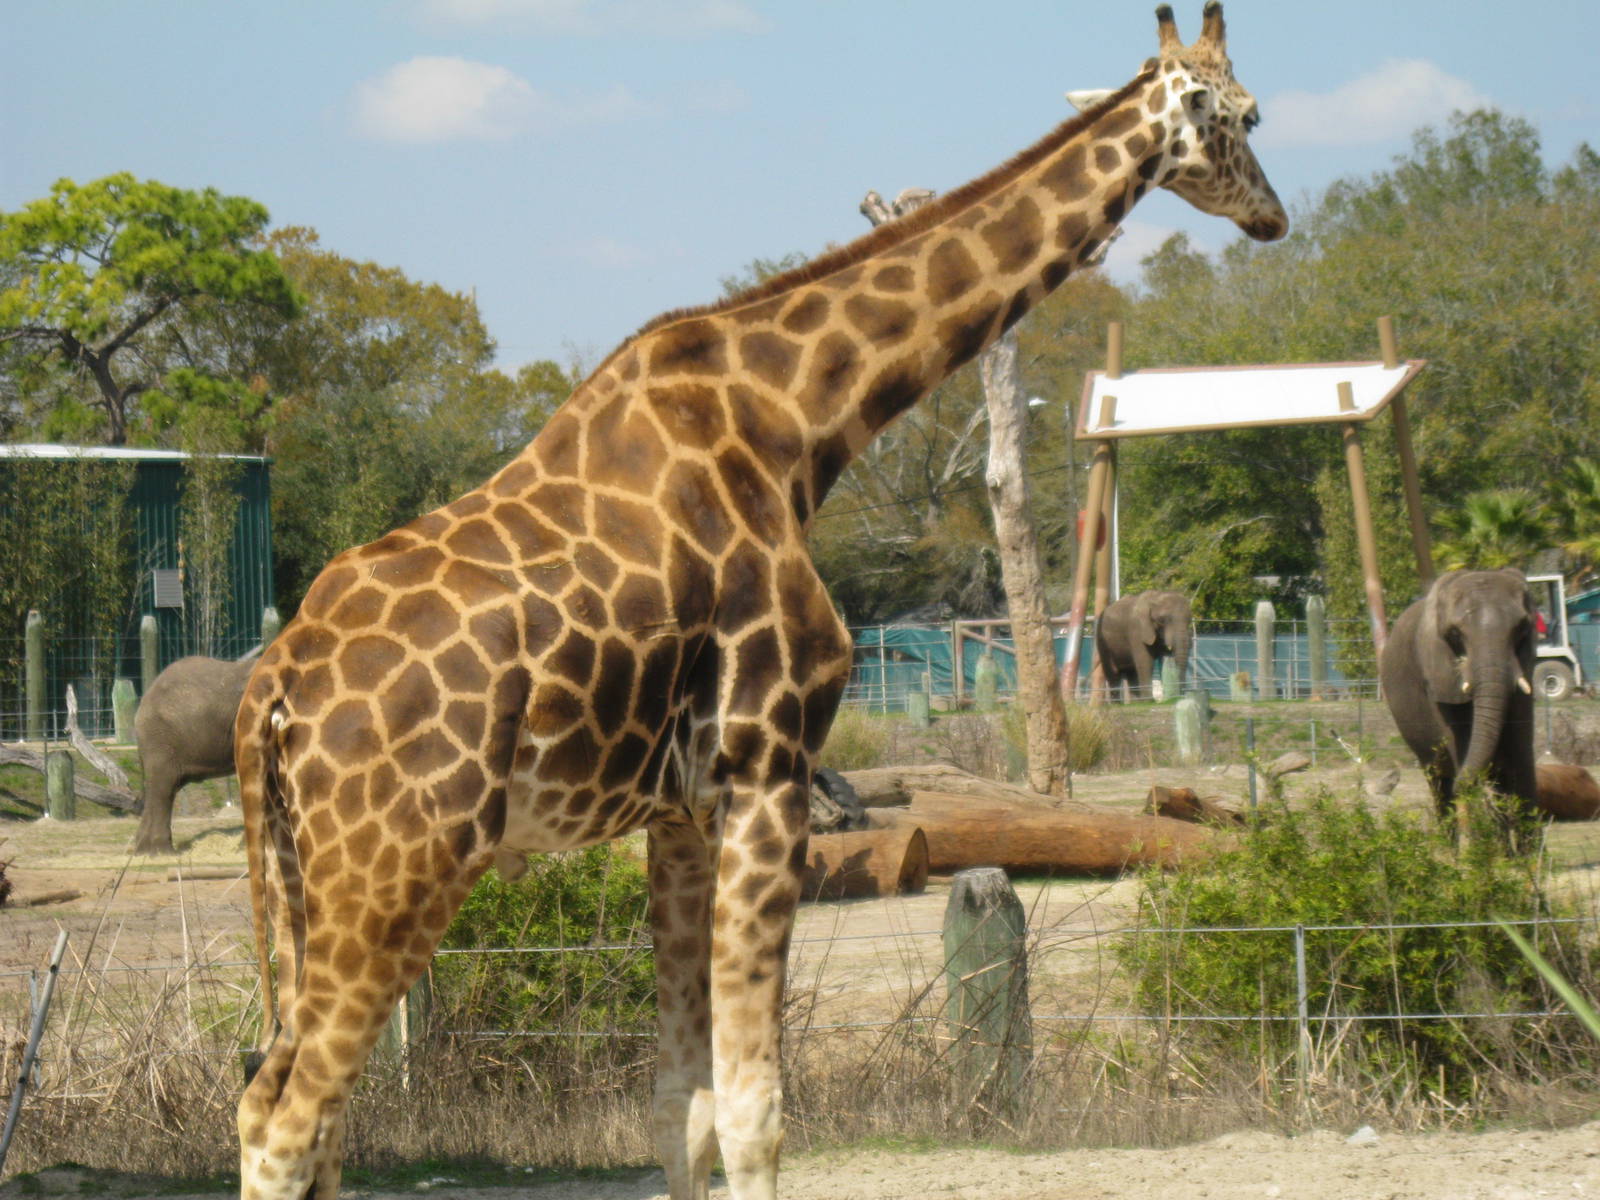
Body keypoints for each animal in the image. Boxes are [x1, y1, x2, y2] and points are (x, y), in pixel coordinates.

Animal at [233, 5, 1285, 1197]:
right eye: (1247, 115)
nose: (1273, 214)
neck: (798, 423)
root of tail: (272, 691)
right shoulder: (768, 768)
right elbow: (755, 1111)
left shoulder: (681, 812)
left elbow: (678, 1111)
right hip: (401, 865)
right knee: (285, 1116)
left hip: (302, 873)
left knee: (290, 1104)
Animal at [1379, 568, 1538, 831]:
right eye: (1454, 633)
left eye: (1521, 628)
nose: (1460, 786)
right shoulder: (1437, 674)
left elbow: (1521, 763)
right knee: (1437, 783)